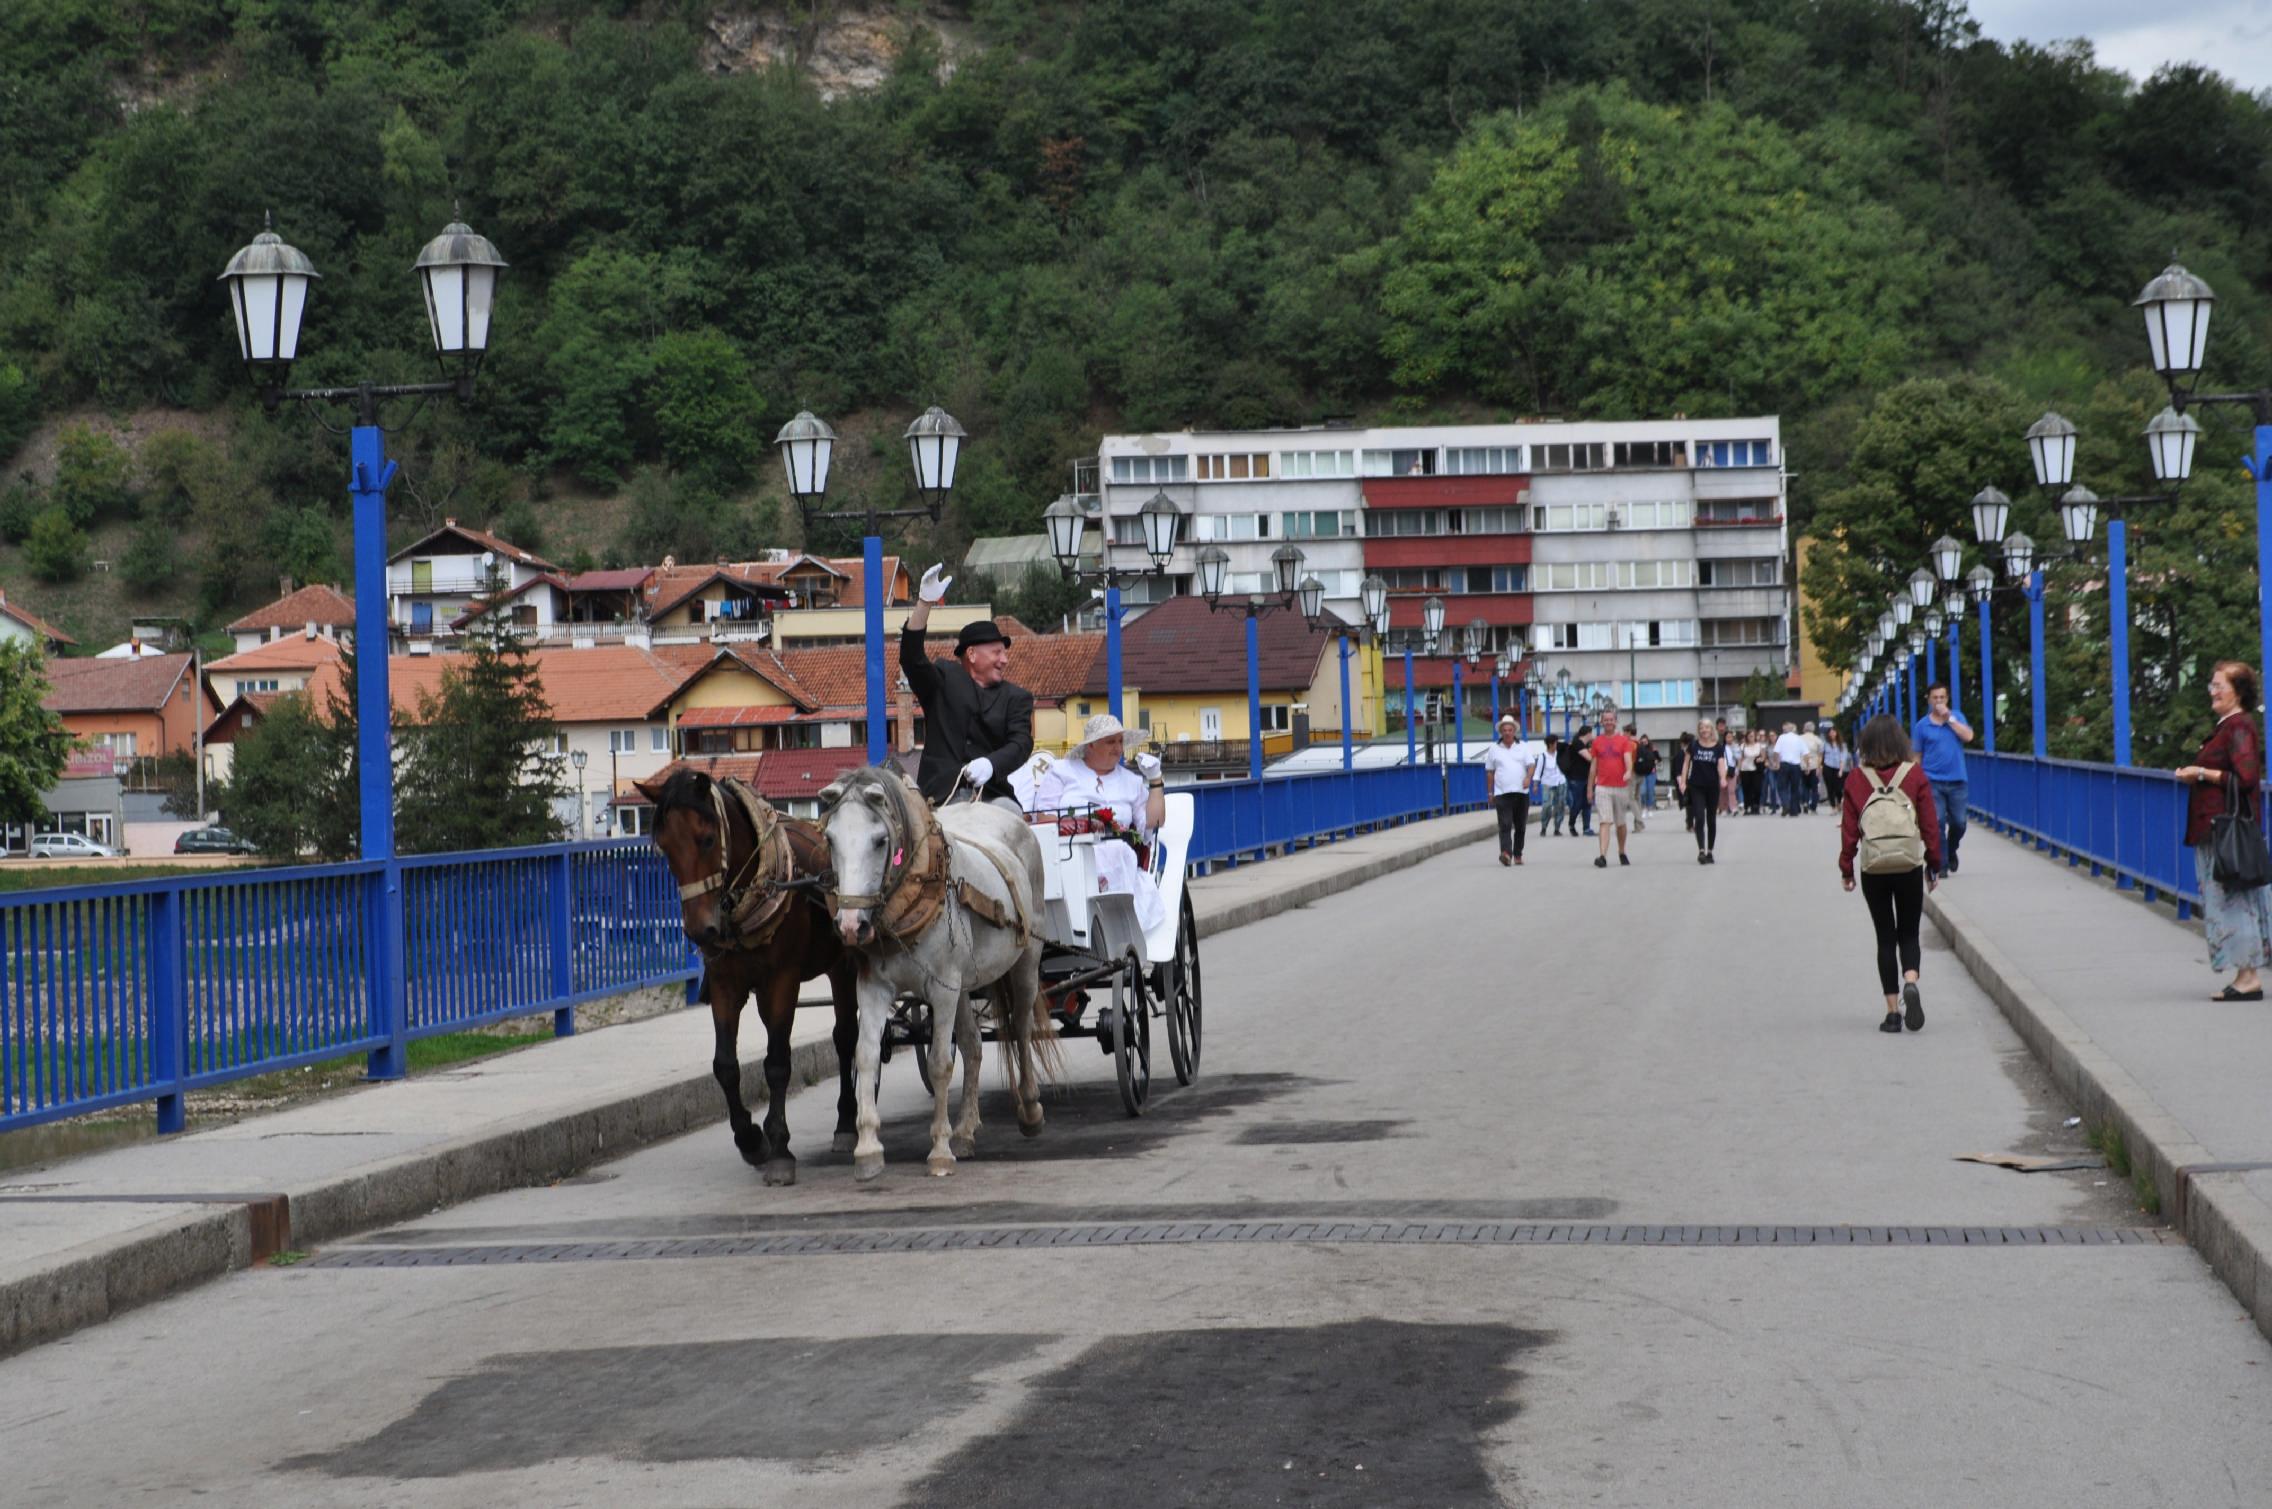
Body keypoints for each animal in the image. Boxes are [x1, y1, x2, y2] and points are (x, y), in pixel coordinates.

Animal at [640, 772, 858, 1181]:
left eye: (707, 838)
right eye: (665, 847)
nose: (700, 931)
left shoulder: (784, 980)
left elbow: (777, 1062)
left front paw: (779, 1148)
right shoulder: (725, 985)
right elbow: (725, 1065)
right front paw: (752, 1140)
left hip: (844, 963)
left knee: (846, 1037)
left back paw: (847, 1123)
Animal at [827, 768, 1054, 1181]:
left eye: (880, 841)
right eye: (830, 838)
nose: (851, 925)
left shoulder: (943, 988)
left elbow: (939, 1064)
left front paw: (939, 1150)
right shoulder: (875, 987)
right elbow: (866, 1055)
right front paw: (867, 1149)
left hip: (1025, 961)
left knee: (1022, 1027)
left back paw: (1030, 1111)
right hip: (963, 984)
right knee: (973, 1045)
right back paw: (965, 1130)